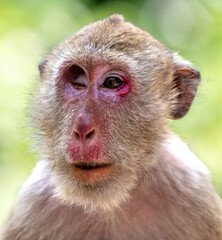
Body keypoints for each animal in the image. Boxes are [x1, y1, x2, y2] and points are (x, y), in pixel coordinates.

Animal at [0, 14, 222, 240]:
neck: (107, 201)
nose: (82, 129)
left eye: (112, 83)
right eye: (78, 82)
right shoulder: (31, 203)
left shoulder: (194, 191)